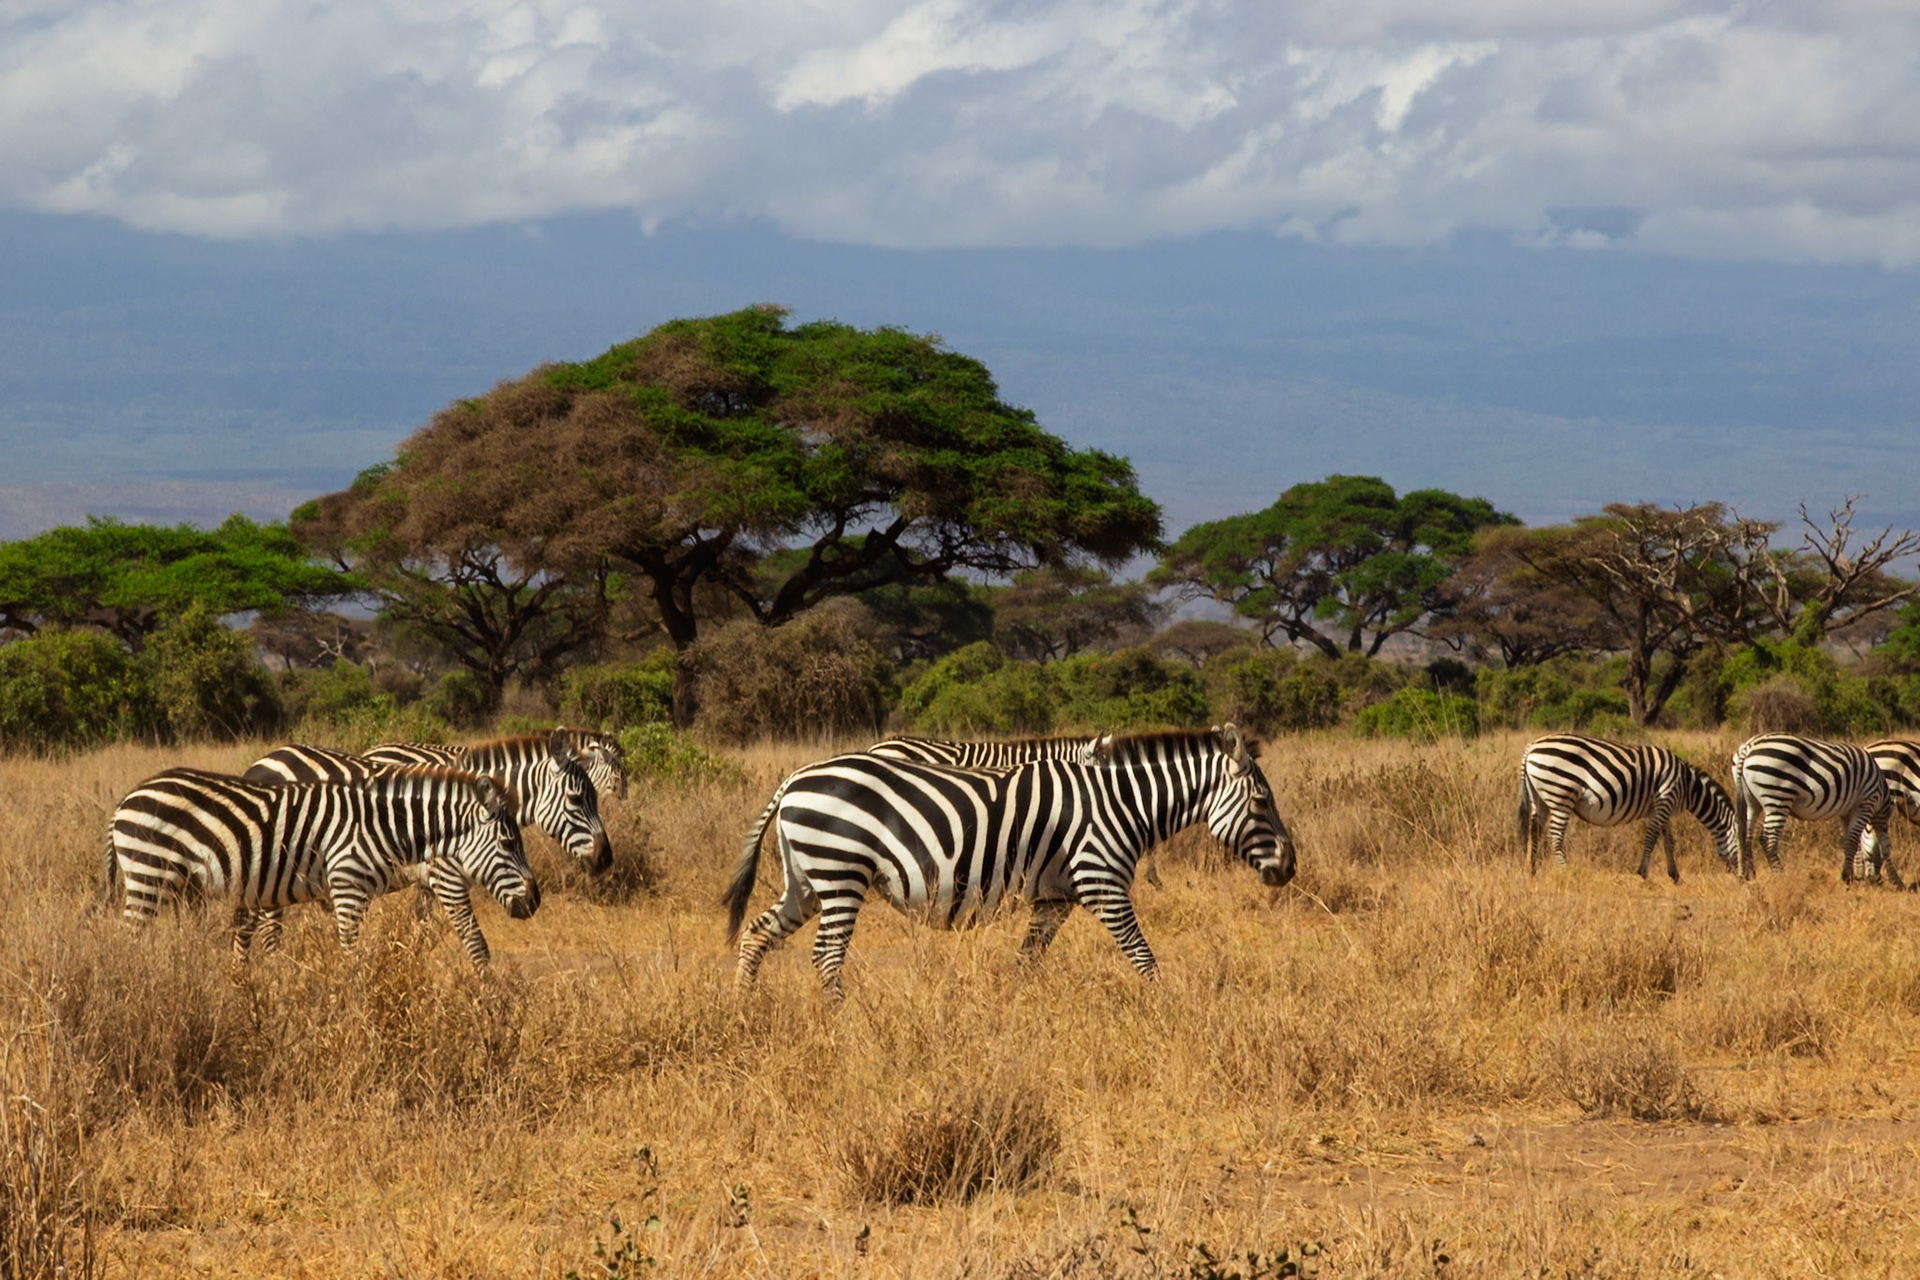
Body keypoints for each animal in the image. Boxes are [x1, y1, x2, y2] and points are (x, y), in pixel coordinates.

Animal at [100, 766, 538, 969]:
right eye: (508, 843)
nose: (534, 902)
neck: (384, 827)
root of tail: (125, 800)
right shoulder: (348, 886)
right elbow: (351, 953)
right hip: (147, 875)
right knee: (125, 943)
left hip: (180, 886)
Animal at [723, 725, 1294, 998]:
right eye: (1262, 802)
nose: (1290, 868)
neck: (1120, 803)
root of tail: (794, 779)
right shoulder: (1102, 884)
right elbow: (1143, 955)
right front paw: (1169, 1009)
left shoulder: (1055, 898)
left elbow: (1027, 961)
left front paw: (1010, 1012)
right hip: (840, 873)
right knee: (826, 956)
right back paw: (844, 1022)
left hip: (807, 879)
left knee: (756, 934)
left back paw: (743, 1010)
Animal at [1517, 734, 1740, 882]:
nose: (1744, 878)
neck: (1687, 786)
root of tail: (1531, 748)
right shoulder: (1665, 799)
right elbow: (1651, 837)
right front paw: (1643, 873)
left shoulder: (1663, 807)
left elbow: (1669, 841)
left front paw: (1675, 875)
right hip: (1560, 793)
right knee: (1555, 836)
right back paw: (1566, 871)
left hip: (1539, 797)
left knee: (1534, 831)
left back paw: (1531, 870)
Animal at [1732, 733, 1897, 885]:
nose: (1876, 880)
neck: (1881, 793)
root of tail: (1749, 746)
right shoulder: (1864, 804)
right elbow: (1863, 841)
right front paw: (1849, 876)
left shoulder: (1846, 812)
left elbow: (1850, 841)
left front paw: (1852, 875)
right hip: (1778, 796)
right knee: (1767, 838)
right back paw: (1780, 875)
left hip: (1751, 801)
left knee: (1744, 834)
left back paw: (1746, 874)